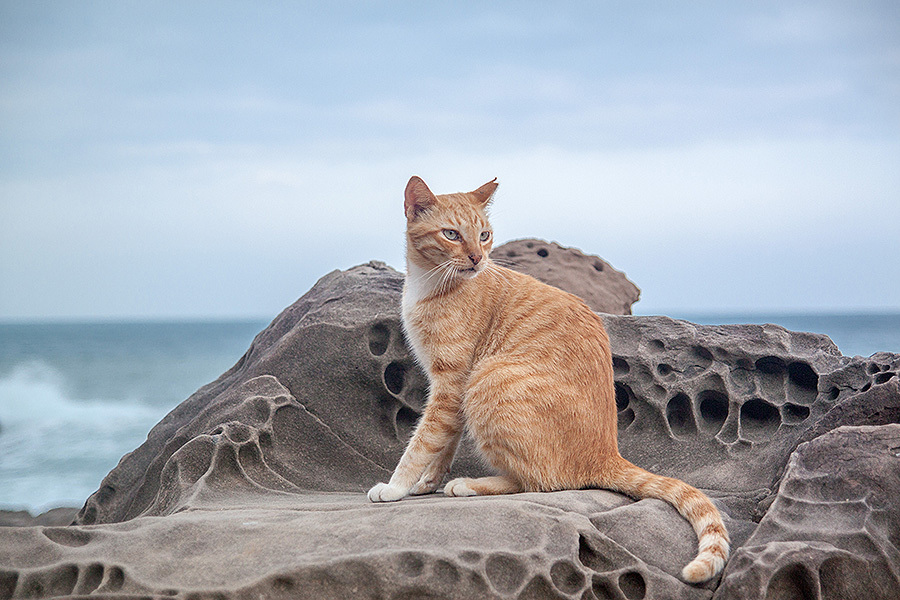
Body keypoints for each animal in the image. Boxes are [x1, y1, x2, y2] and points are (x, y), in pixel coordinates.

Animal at [370, 173, 728, 580]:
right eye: (451, 234)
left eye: (484, 235)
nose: (478, 258)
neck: (429, 283)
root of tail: (607, 453)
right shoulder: (447, 386)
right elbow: (444, 442)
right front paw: (426, 481)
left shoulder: (453, 382)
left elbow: (422, 442)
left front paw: (396, 487)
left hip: (489, 377)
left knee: (540, 482)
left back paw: (471, 484)